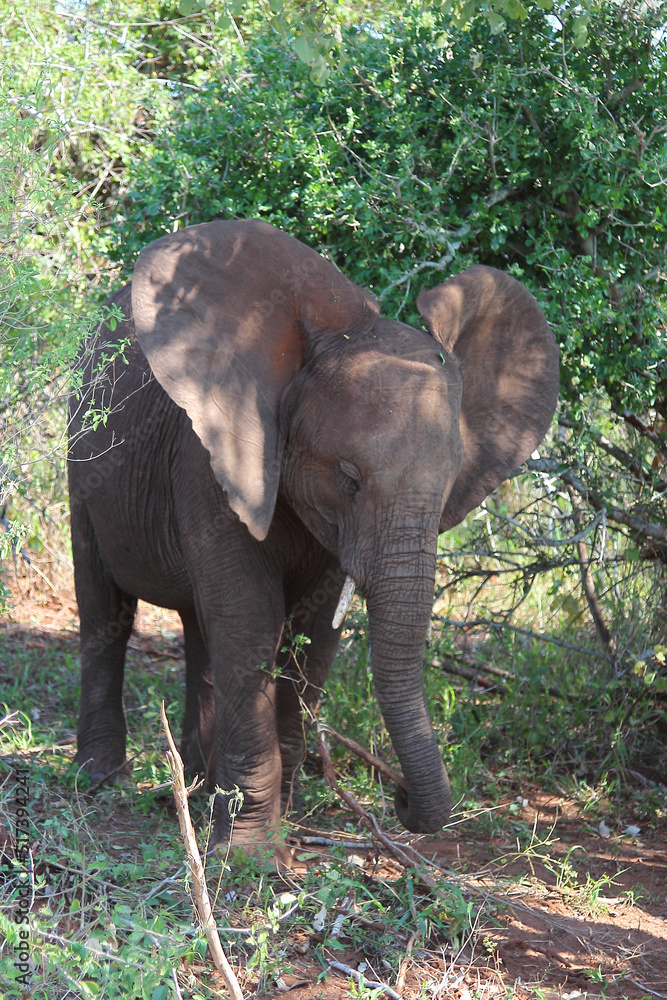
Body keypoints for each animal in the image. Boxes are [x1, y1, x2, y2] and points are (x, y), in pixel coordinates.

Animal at [68, 218, 559, 855]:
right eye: (348, 477)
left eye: (452, 480)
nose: (400, 796)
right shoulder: (212, 456)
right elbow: (251, 618)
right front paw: (249, 853)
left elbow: (317, 630)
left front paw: (286, 821)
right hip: (82, 460)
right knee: (106, 611)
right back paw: (101, 781)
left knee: (201, 625)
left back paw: (195, 787)